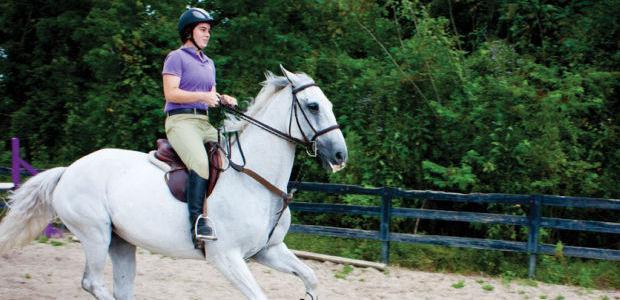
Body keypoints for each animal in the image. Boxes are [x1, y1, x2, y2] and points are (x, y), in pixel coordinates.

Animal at [0, 67, 348, 300]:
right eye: (313, 106)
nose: (340, 155)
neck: (254, 180)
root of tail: (69, 170)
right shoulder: (227, 258)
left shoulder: (268, 250)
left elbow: (311, 277)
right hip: (95, 235)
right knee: (92, 282)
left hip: (120, 242)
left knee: (121, 288)